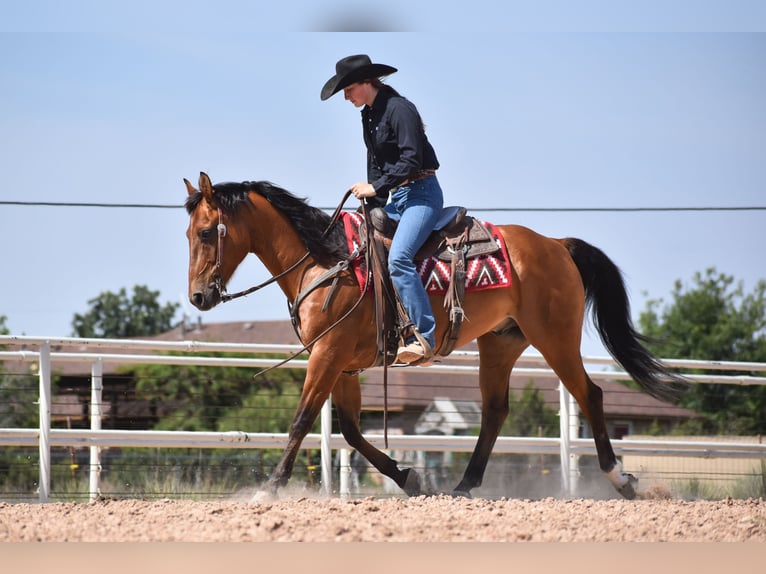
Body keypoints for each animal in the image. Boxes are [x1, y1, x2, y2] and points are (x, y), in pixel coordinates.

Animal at [184, 172, 685, 500]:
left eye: (207, 232)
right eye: (189, 232)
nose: (198, 297)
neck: (326, 261)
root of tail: (557, 245)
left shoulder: (327, 354)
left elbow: (303, 419)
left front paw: (269, 489)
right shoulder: (343, 364)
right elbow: (350, 431)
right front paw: (411, 479)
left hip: (555, 338)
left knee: (589, 394)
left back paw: (621, 480)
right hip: (501, 343)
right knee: (495, 411)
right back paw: (463, 485)